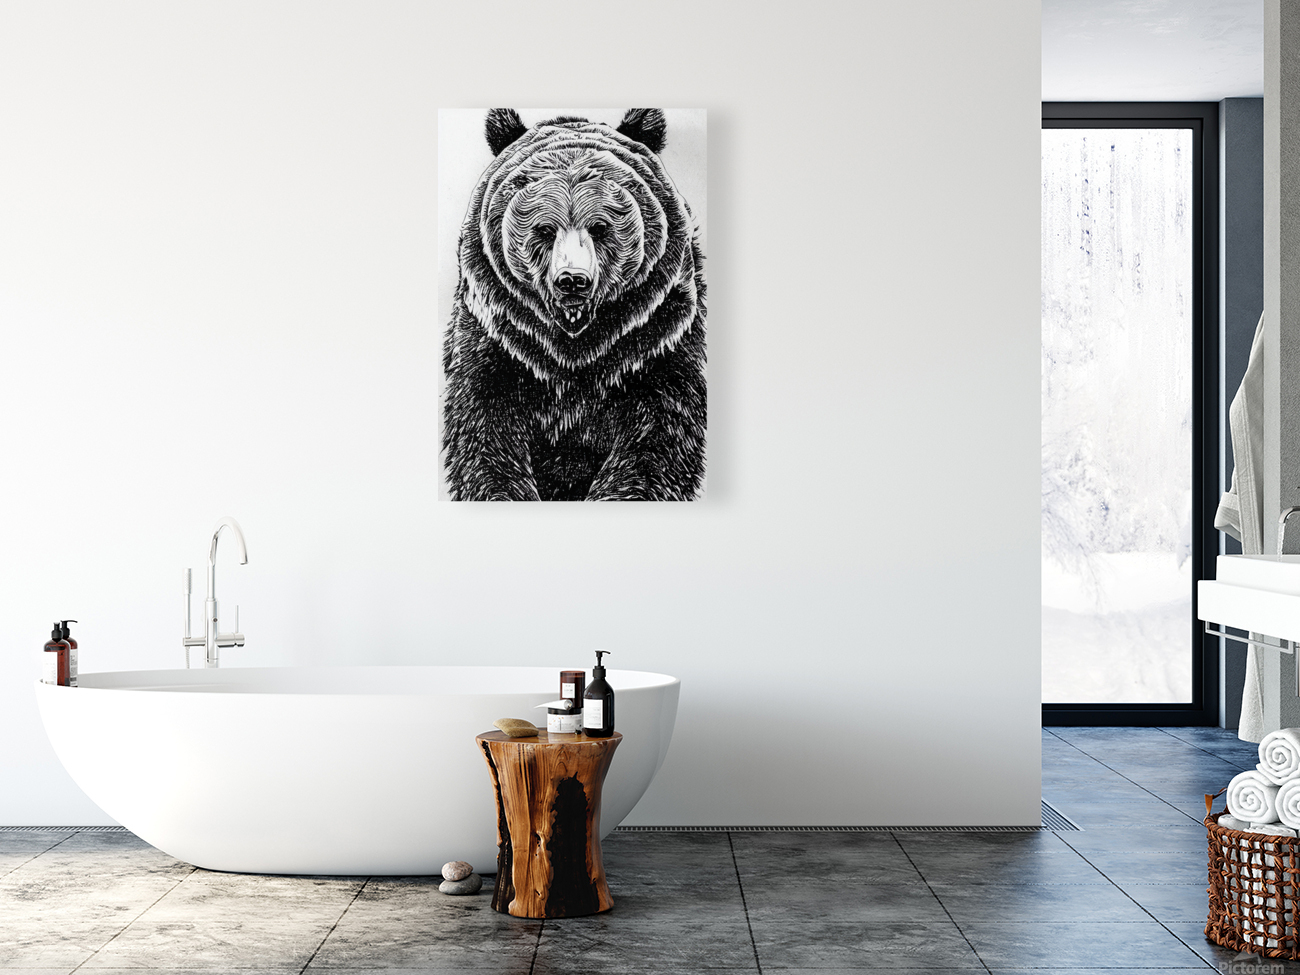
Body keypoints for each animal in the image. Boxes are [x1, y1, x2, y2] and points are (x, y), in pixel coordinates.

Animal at [442, 108, 707, 501]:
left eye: (600, 226)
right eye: (543, 229)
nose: (572, 281)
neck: (574, 352)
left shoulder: (657, 336)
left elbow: (658, 437)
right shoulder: (499, 339)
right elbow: (485, 431)